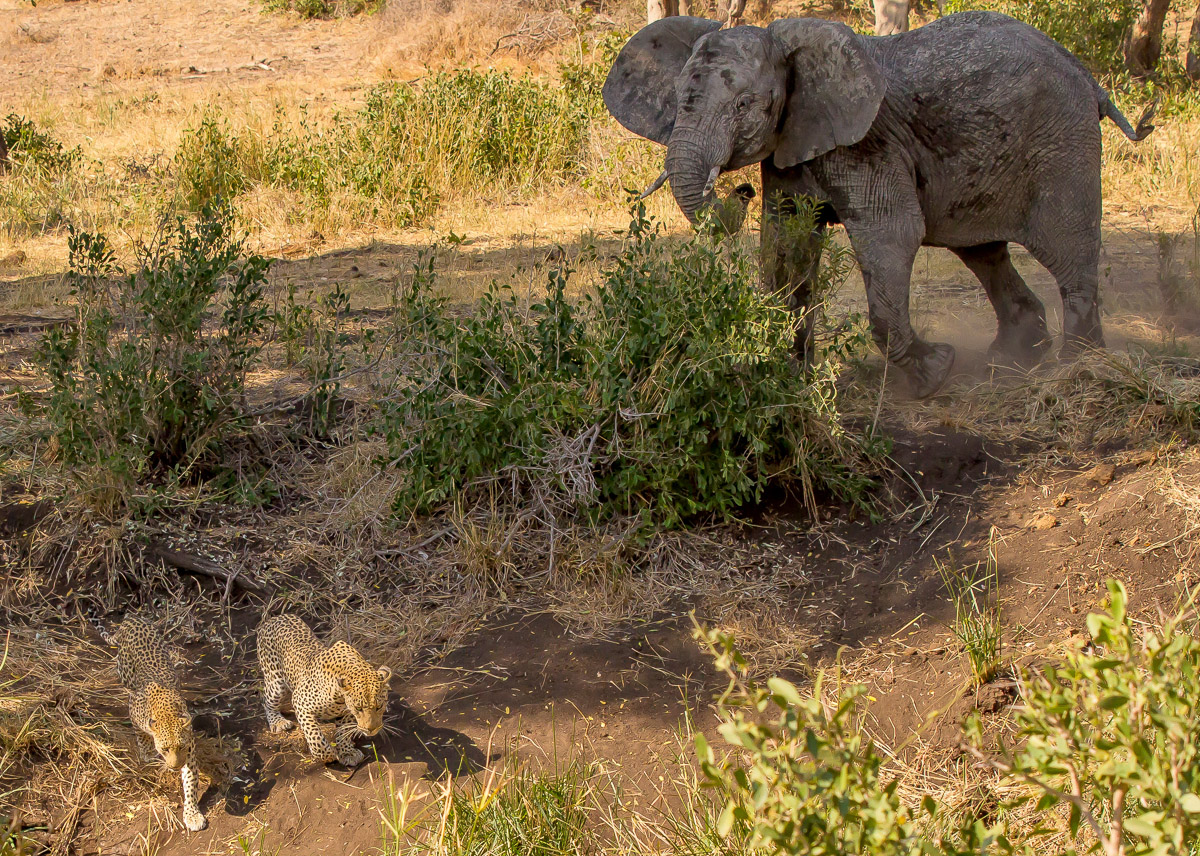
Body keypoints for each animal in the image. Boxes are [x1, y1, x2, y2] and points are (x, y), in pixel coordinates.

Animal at [102, 618, 207, 832]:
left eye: (181, 747)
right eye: (164, 749)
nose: (175, 767)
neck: (167, 713)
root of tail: (131, 618)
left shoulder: (189, 751)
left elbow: (190, 781)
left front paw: (192, 814)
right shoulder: (135, 713)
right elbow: (142, 735)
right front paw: (147, 753)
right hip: (125, 672)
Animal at [256, 614, 392, 767]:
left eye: (379, 706)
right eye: (359, 708)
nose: (371, 730)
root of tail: (273, 618)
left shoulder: (346, 712)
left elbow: (343, 730)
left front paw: (347, 752)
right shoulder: (300, 701)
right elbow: (313, 733)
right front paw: (327, 755)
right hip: (276, 682)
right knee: (266, 701)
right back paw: (278, 722)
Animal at [602, 11, 1156, 397]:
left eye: (744, 105)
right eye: (678, 100)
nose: (738, 193)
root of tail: (1087, 76)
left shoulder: (868, 142)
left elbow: (892, 234)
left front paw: (934, 376)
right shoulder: (793, 144)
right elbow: (787, 242)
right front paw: (789, 380)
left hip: (1061, 139)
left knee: (1066, 248)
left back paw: (1077, 365)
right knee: (983, 251)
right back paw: (1013, 357)